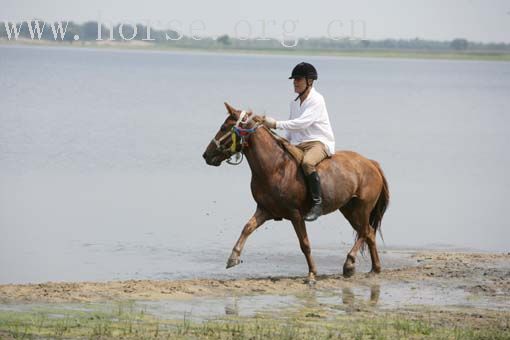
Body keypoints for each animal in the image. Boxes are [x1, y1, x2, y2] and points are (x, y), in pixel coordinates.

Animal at [201, 102, 388, 282]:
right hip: (349, 209)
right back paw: (375, 269)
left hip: (362, 208)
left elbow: (304, 244)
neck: (274, 167)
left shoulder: (295, 215)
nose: (206, 155)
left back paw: (349, 264)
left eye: (224, 127)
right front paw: (233, 257)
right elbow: (247, 227)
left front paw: (312, 273)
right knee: (369, 234)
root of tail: (371, 163)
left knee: (365, 231)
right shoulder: (265, 210)